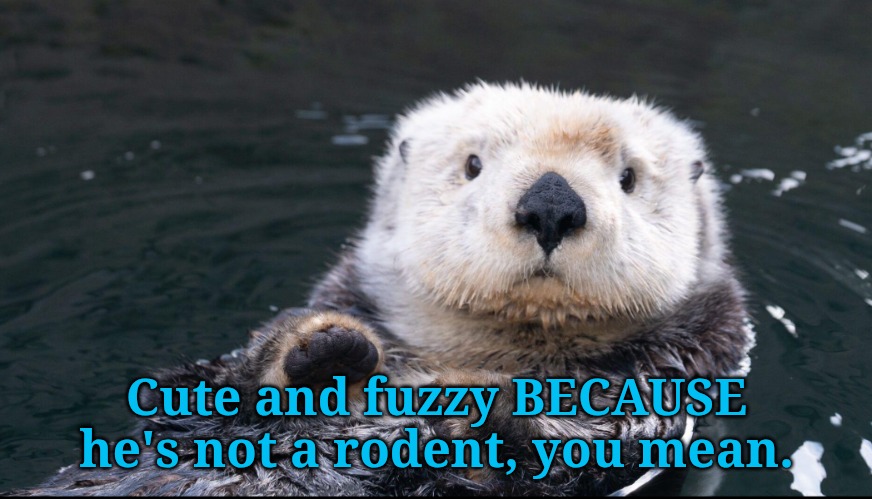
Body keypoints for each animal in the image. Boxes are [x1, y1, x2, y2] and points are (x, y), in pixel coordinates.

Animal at [13, 82, 754, 496]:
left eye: (628, 177)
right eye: (473, 164)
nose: (551, 203)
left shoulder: (664, 386)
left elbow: (568, 449)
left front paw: (482, 415)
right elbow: (203, 391)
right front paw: (323, 350)